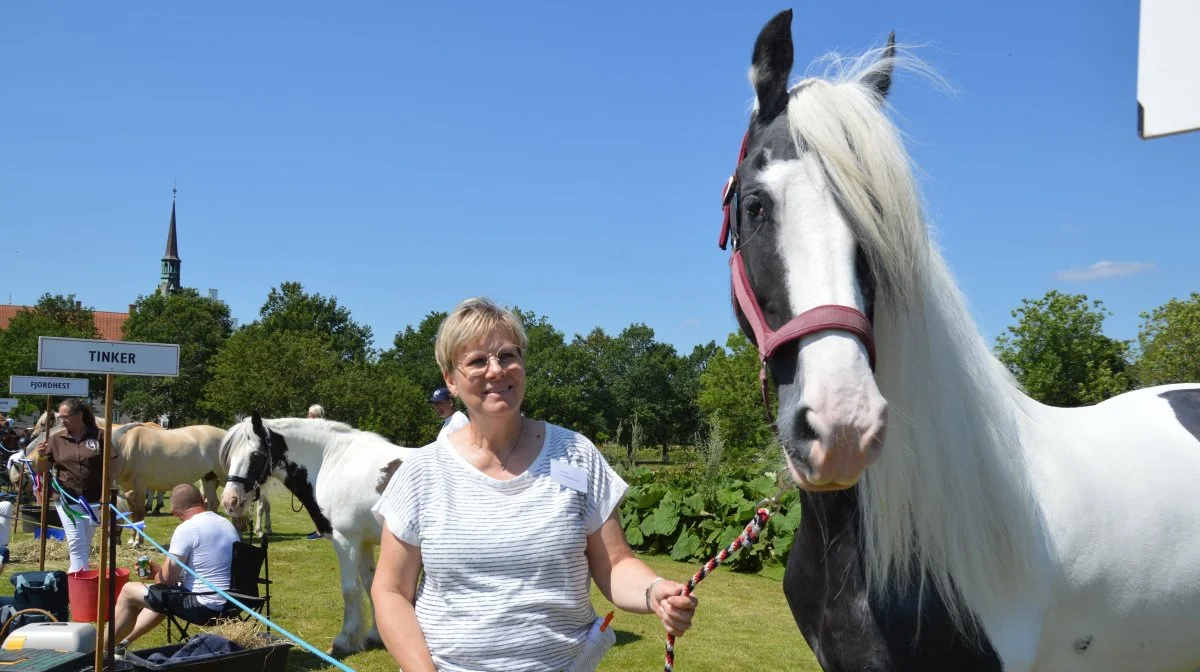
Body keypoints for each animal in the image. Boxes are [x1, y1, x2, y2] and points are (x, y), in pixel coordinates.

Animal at [220, 415, 417, 657]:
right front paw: (375, 636)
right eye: (230, 456)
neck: (334, 462)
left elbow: (350, 589)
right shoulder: (364, 543)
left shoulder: (346, 541)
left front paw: (344, 641)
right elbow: (371, 585)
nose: (230, 501)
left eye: (255, 455)